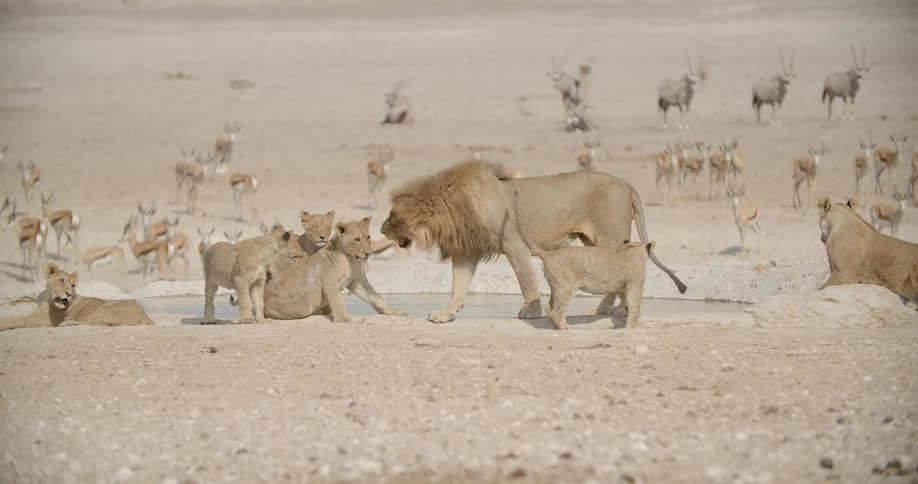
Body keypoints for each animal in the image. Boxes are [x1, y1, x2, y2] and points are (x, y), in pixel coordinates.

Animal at [262, 217, 406, 321]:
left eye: (368, 237)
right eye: (357, 239)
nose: (368, 253)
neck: (352, 260)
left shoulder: (356, 281)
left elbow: (375, 297)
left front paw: (392, 311)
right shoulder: (329, 282)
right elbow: (338, 302)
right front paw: (346, 319)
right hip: (302, 307)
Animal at [380, 160, 686, 323]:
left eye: (393, 218)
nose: (381, 229)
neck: (454, 206)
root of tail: (628, 185)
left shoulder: (514, 244)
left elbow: (526, 280)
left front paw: (532, 311)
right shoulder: (467, 252)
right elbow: (458, 286)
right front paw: (446, 314)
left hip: (608, 236)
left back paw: (609, 309)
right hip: (591, 239)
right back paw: (607, 308)